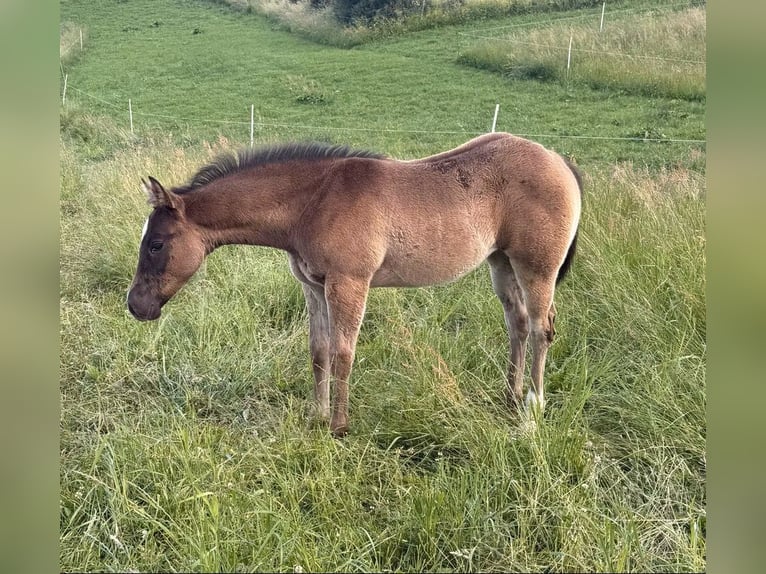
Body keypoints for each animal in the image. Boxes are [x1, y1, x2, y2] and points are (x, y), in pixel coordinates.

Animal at [127, 132, 582, 436]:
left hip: (536, 268)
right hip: (501, 263)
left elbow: (343, 353)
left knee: (541, 328)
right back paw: (510, 395)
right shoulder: (313, 286)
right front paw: (316, 415)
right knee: (517, 324)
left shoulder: (349, 283)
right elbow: (318, 351)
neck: (314, 201)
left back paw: (533, 409)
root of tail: (560, 160)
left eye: (156, 243)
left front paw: (340, 425)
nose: (135, 306)